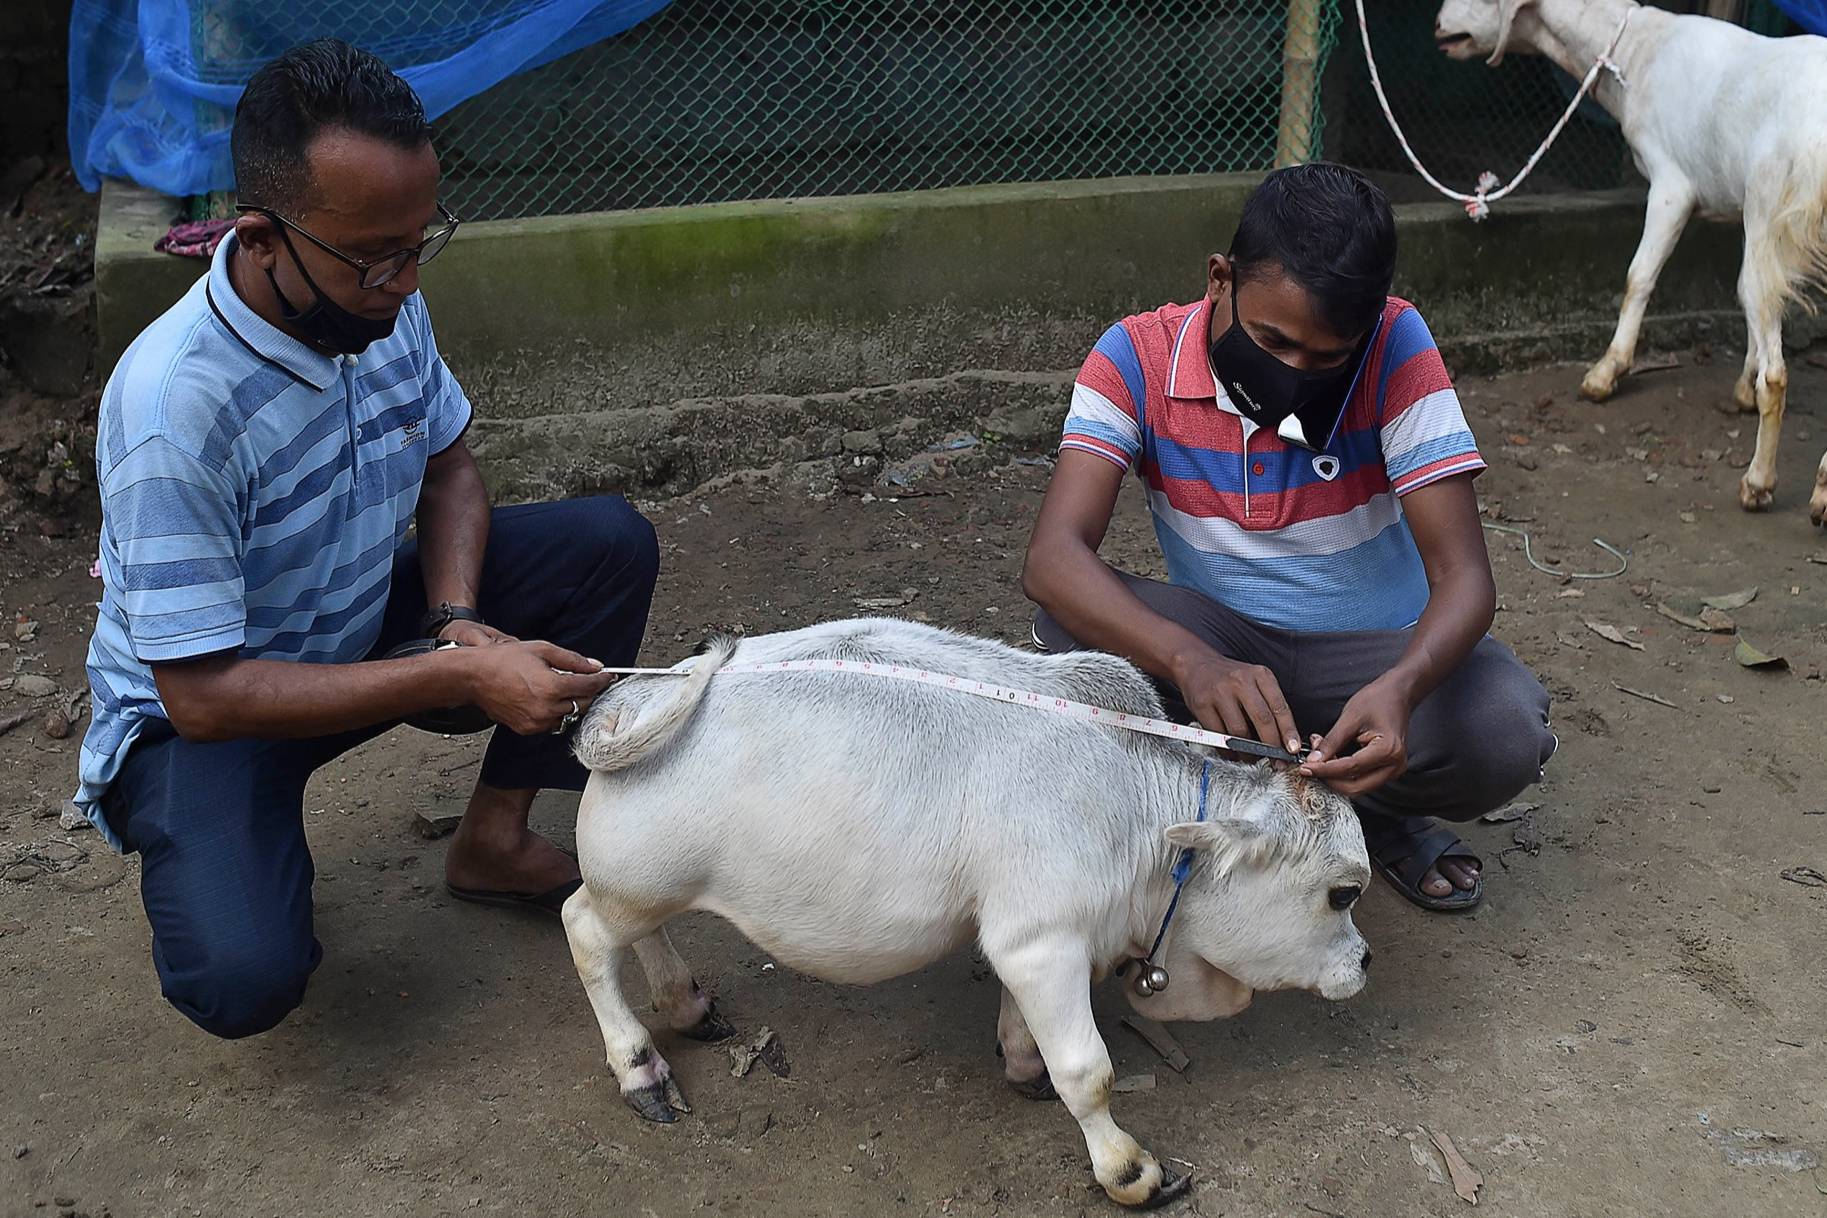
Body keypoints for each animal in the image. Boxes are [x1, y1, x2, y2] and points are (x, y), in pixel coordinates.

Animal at [562, 620, 1366, 1212]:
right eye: (1342, 893)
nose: (1362, 962)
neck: (1136, 810)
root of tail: (635, 698)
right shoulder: (1043, 943)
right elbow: (1089, 1072)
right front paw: (1129, 1171)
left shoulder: (1026, 938)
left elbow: (1023, 1026)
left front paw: (1022, 1063)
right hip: (636, 883)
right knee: (584, 930)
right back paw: (639, 1067)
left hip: (647, 889)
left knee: (641, 936)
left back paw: (687, 1003)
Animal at [1432, 0, 1827, 525]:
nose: (1438, 26)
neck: (1640, 51)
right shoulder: (1743, 210)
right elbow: (1748, 299)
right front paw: (1742, 386)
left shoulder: (1673, 184)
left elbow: (1639, 277)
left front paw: (1605, 373)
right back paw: (1820, 489)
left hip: (1771, 198)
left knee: (1777, 373)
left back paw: (1759, 483)